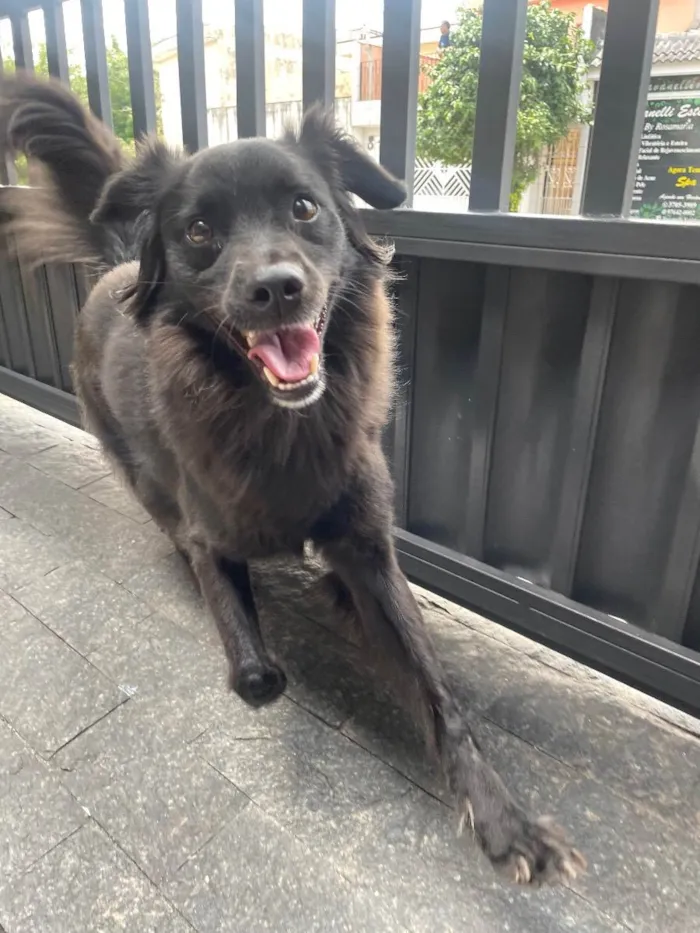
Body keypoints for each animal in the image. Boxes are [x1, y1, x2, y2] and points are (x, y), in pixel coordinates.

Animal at [0, 76, 584, 884]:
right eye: (199, 230)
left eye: (304, 208)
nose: (276, 288)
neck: (282, 423)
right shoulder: (213, 536)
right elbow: (253, 672)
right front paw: (255, 651)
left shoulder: (368, 546)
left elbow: (437, 691)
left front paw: (504, 819)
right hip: (137, 469)